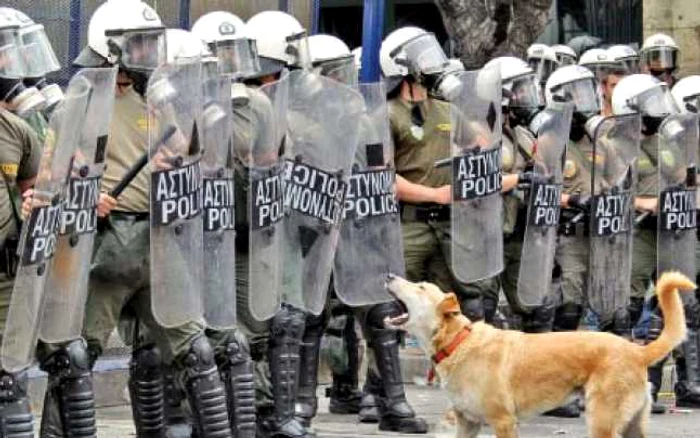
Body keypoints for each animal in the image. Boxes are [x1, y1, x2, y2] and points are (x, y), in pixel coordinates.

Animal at [386, 272, 696, 436]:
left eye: (420, 286)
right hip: (631, 424)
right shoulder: (468, 421)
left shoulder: (503, 421)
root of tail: (636, 350)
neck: (458, 342)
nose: (389, 275)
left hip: (602, 421)